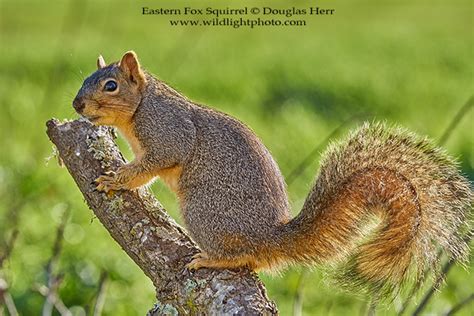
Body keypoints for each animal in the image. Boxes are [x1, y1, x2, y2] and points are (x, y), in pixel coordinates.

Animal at [72, 51, 472, 296]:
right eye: (85, 78)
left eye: (111, 85)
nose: (76, 104)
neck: (140, 108)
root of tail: (269, 237)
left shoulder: (168, 132)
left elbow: (157, 161)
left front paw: (114, 179)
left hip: (203, 211)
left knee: (241, 256)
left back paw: (212, 258)